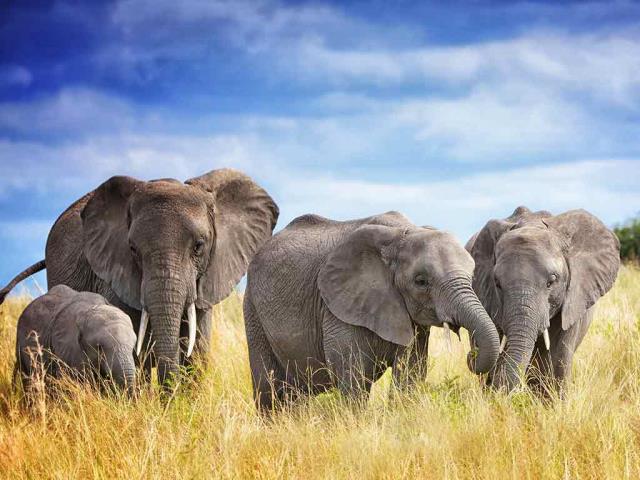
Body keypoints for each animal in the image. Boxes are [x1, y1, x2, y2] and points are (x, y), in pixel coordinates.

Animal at [244, 211, 500, 411]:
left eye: (472, 276)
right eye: (421, 281)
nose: (471, 355)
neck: (403, 233)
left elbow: (411, 370)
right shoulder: (337, 306)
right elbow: (353, 372)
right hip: (252, 308)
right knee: (268, 387)